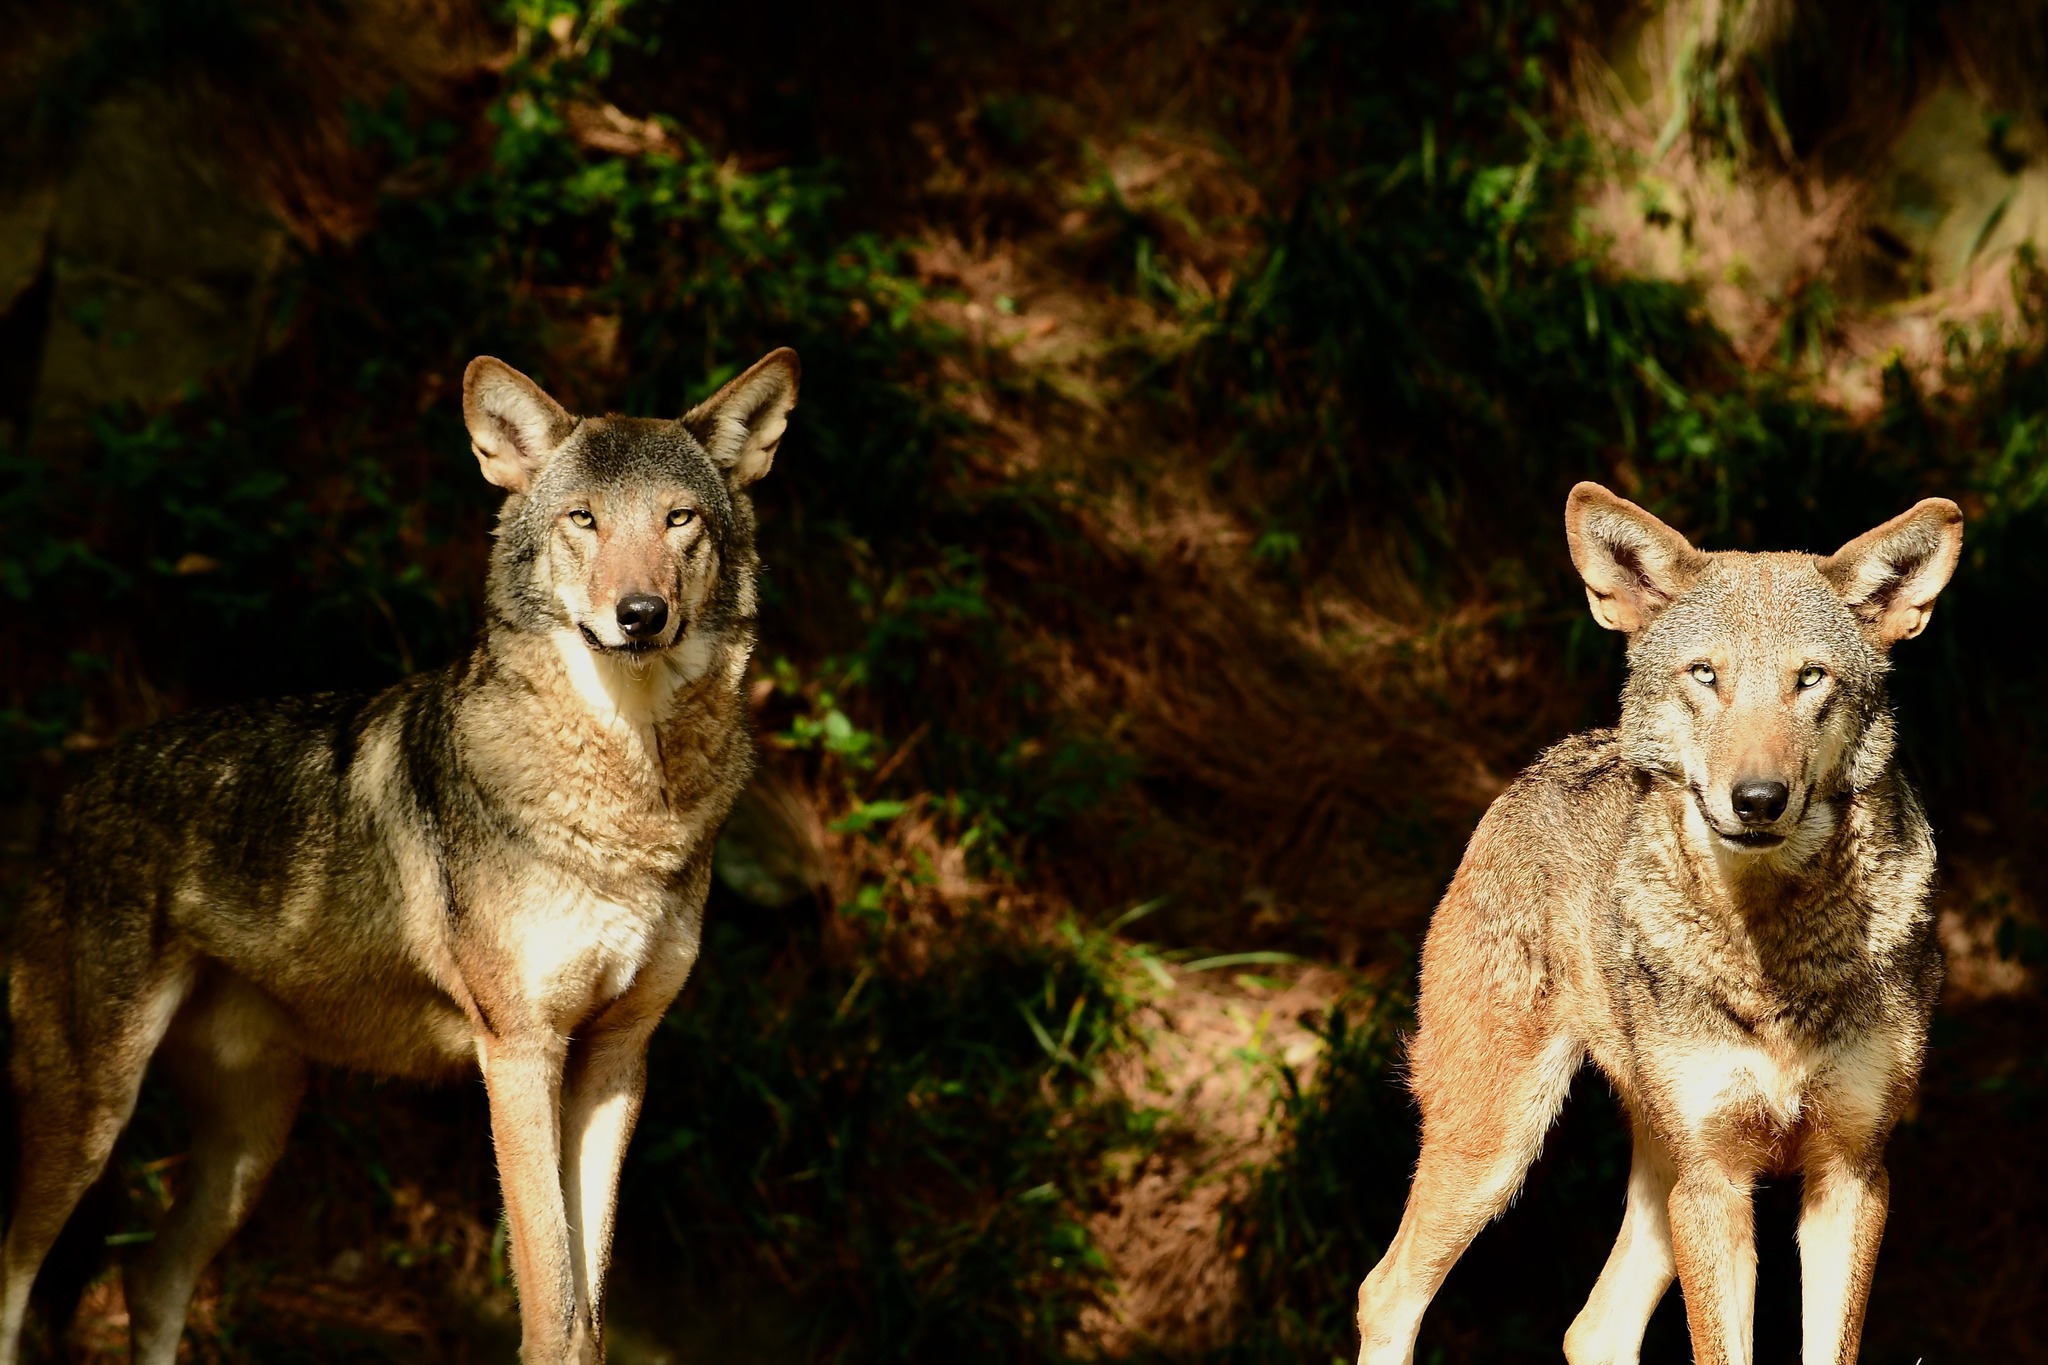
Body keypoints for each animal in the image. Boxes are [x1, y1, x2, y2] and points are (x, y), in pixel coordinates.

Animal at [4, 347, 802, 1358]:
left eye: (679, 518)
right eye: (584, 518)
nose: (640, 612)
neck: (629, 804)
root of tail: (72, 791)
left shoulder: (618, 1057)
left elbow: (589, 1317)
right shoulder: (519, 1053)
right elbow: (552, 1306)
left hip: (252, 1144)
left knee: (149, 1280)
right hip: (92, 1118)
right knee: (19, 1274)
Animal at [1359, 482, 1966, 1365]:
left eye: (1809, 678)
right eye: (1706, 674)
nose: (1758, 798)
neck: (1770, 951)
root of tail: (1552, 755)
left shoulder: (1852, 1173)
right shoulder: (1714, 1179)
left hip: (1651, 1174)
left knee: (1593, 1328)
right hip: (1497, 1148)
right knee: (1387, 1293)